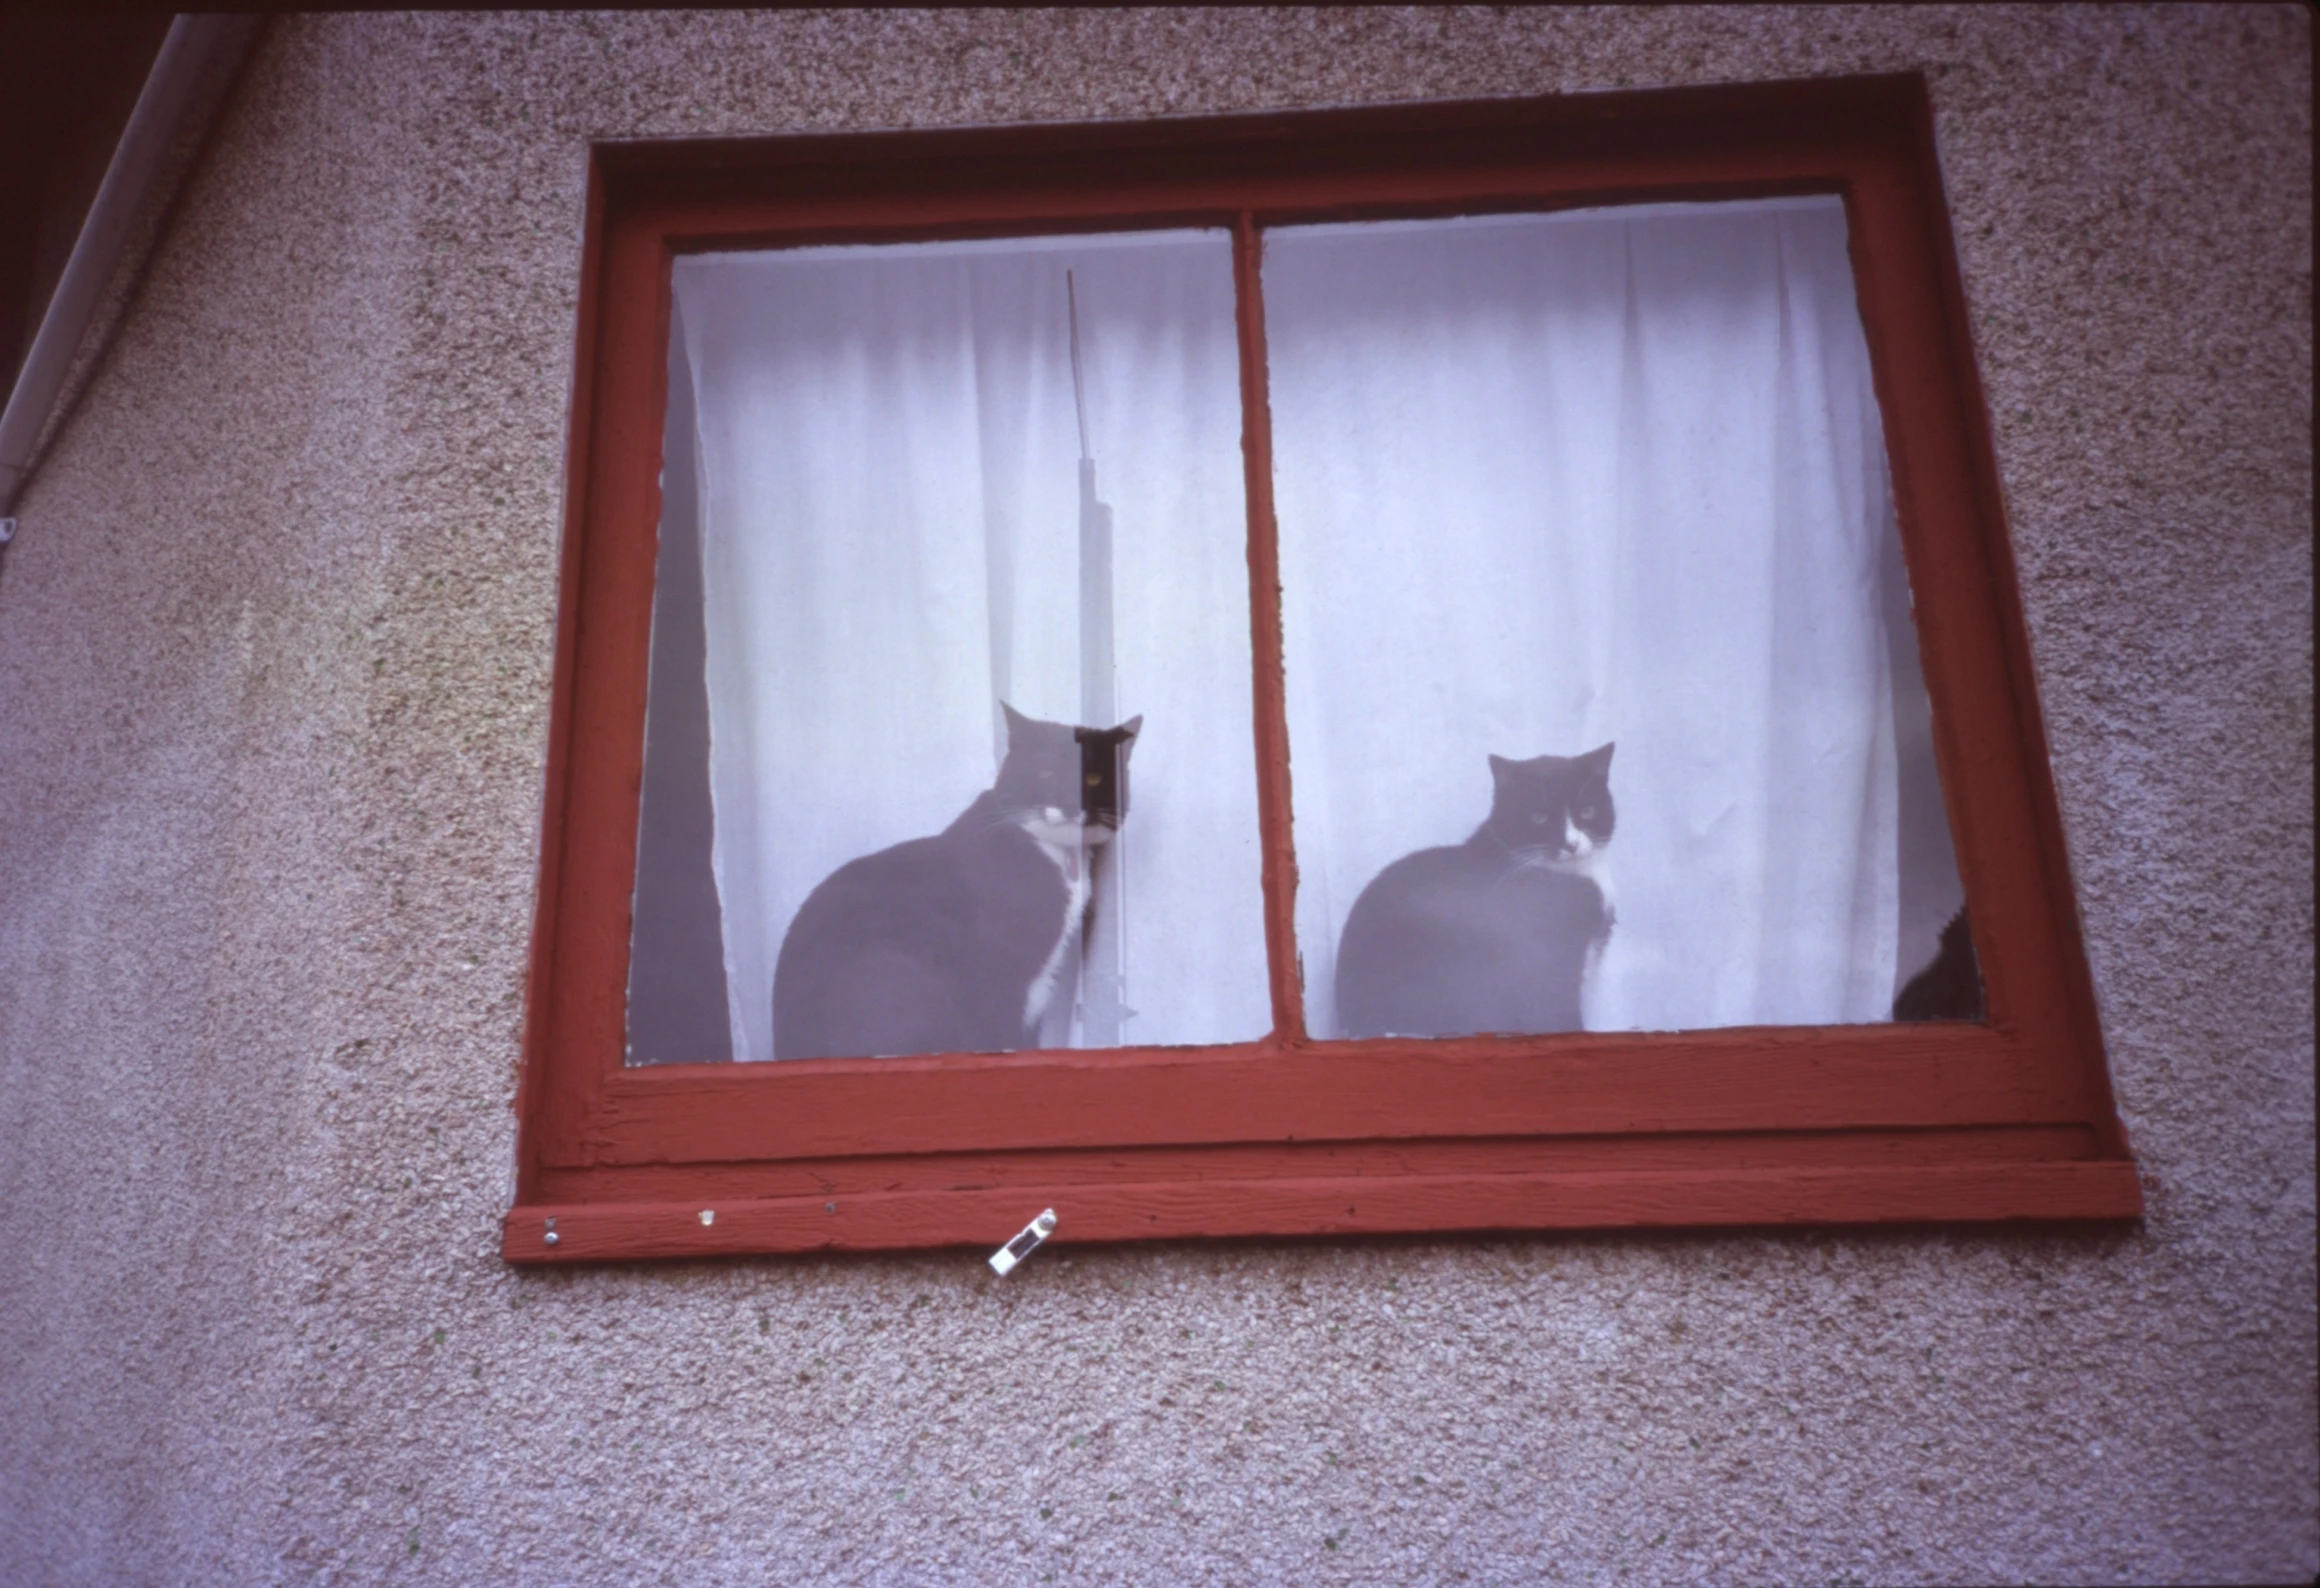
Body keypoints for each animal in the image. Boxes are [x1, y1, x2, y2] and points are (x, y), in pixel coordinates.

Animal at [770, 705, 1141, 1054]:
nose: (1069, 802)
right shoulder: (1002, 968)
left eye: (1092, 778)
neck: (1057, 855)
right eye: (1046, 770)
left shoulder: (1040, 980)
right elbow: (1003, 1027)